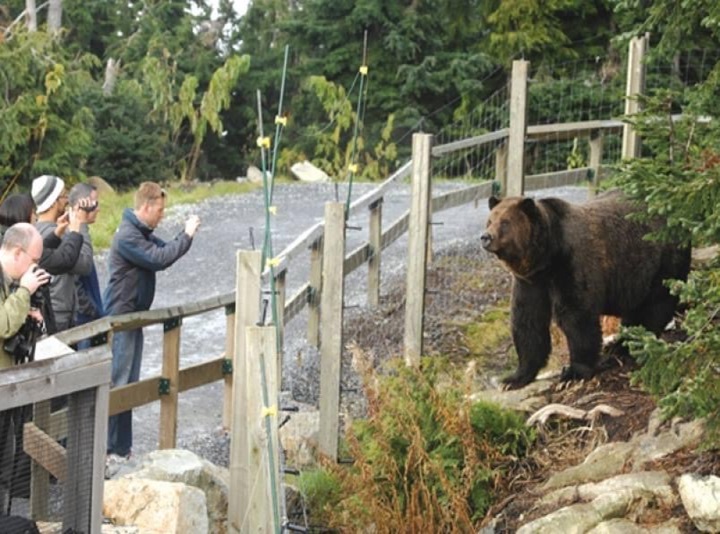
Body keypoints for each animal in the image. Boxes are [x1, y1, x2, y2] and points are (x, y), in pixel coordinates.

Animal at [480, 193, 688, 390]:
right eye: (490, 220)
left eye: (505, 222)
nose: (485, 237)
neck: (547, 257)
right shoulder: (531, 282)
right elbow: (528, 321)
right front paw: (513, 378)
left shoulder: (572, 264)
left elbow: (576, 316)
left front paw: (573, 373)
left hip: (659, 264)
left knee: (654, 306)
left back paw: (627, 346)